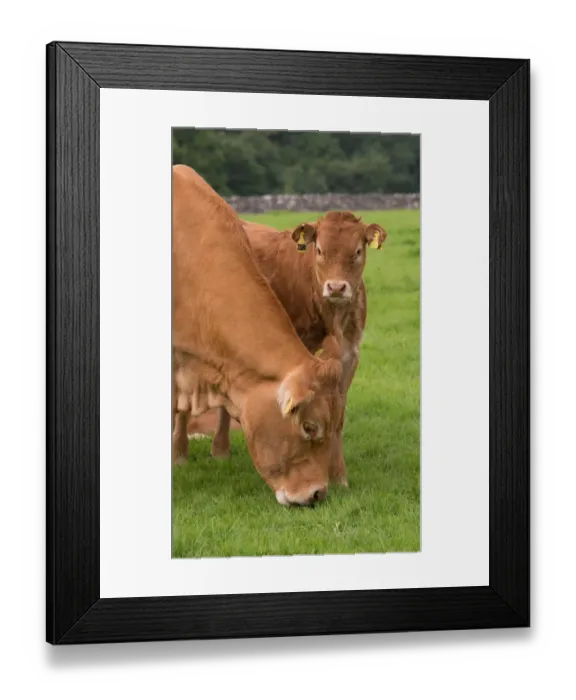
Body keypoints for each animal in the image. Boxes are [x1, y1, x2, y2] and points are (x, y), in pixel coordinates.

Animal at [210, 211, 387, 487]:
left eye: (358, 251)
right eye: (320, 250)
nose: (336, 287)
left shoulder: (350, 355)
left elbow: (338, 415)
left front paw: (339, 476)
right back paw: (216, 449)